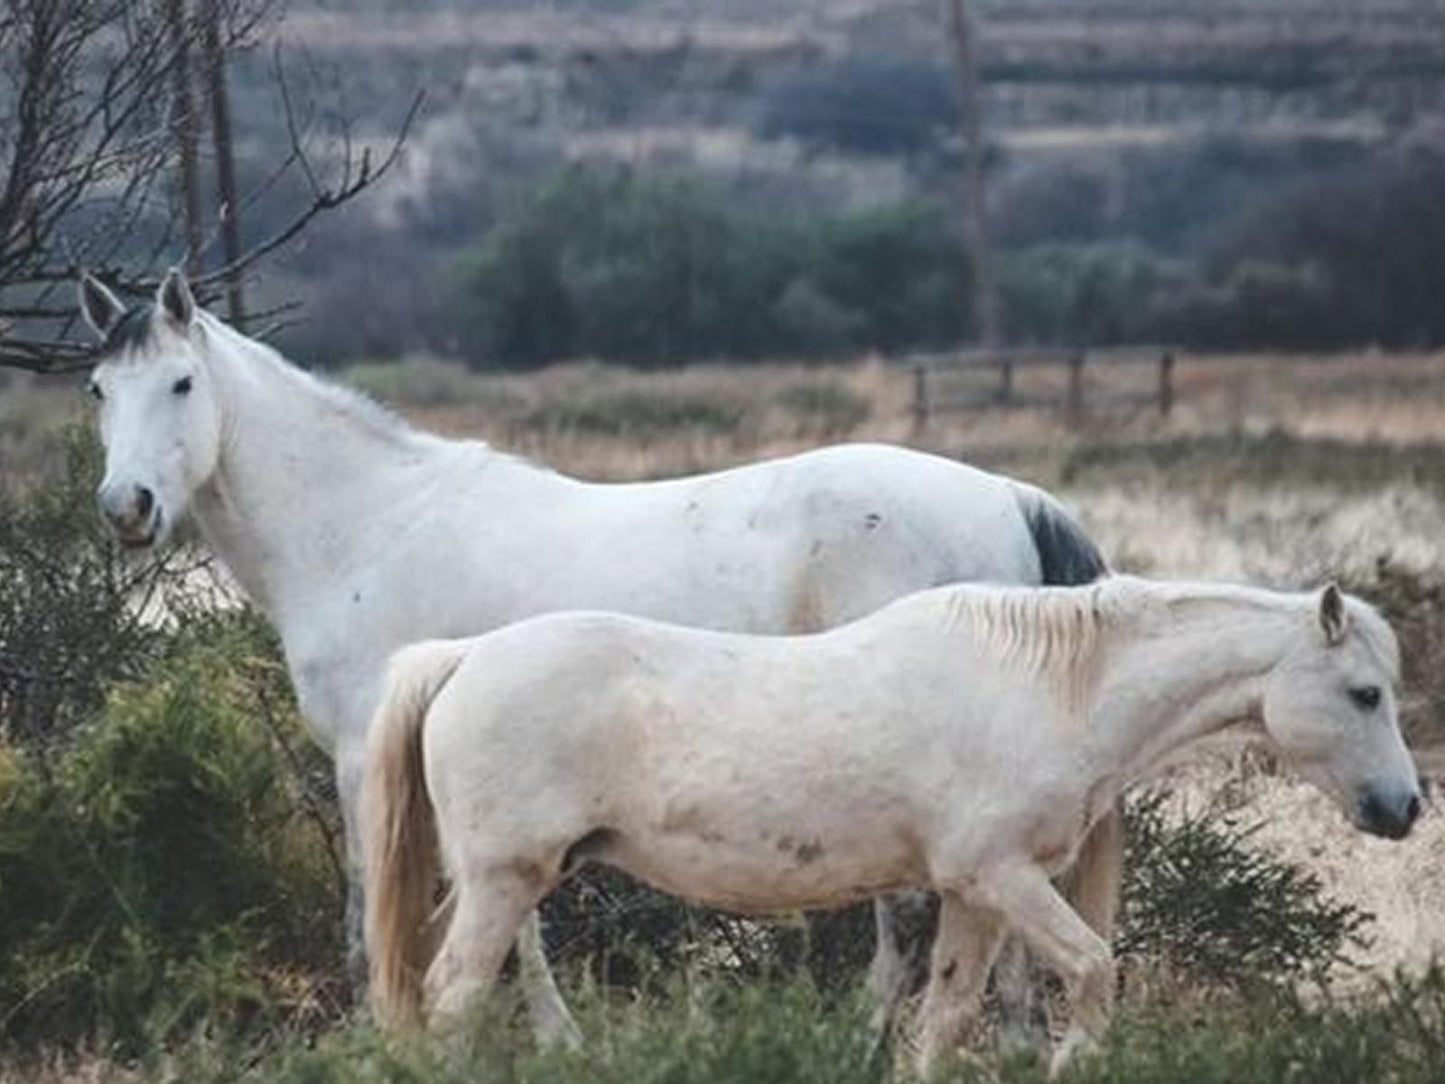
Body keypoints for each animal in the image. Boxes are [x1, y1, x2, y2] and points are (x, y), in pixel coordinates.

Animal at [79, 267, 1109, 1040]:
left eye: (181, 384)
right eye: (98, 389)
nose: (127, 507)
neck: (369, 529)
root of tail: (1006, 496)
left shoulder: (368, 757)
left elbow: (390, 910)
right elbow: (512, 920)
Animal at [364, 581, 1421, 1075]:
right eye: (1364, 694)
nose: (1404, 808)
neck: (1052, 690)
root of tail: (461, 657)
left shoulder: (973, 896)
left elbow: (944, 1016)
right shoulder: (1004, 878)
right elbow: (1089, 971)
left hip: (498, 883)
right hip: (504, 882)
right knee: (452, 999)